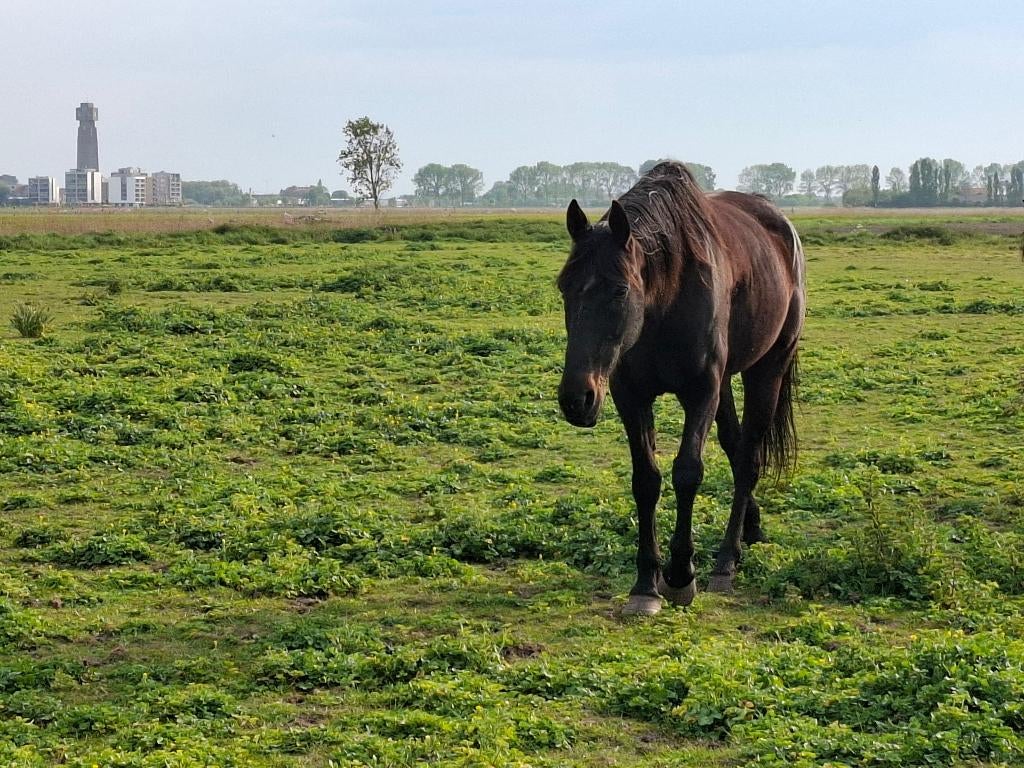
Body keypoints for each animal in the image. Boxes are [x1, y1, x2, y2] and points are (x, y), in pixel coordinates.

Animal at [556, 161, 805, 616]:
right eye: (564, 286)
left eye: (619, 289)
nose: (576, 399)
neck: (665, 299)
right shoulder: (631, 396)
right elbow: (646, 480)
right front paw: (645, 584)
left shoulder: (700, 391)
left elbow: (687, 473)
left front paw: (679, 575)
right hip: (726, 384)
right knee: (736, 447)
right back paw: (750, 528)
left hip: (767, 369)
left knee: (749, 457)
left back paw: (726, 560)